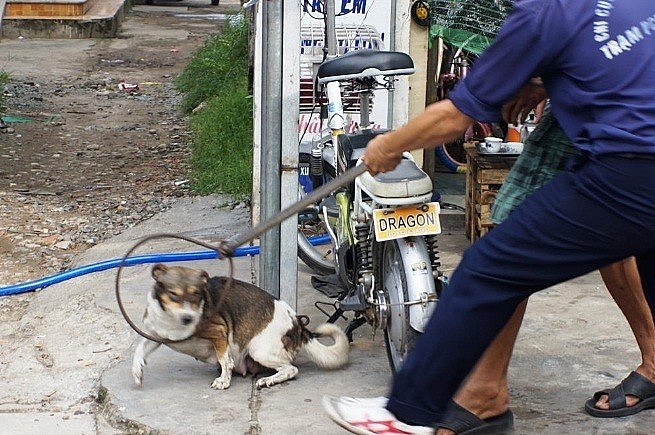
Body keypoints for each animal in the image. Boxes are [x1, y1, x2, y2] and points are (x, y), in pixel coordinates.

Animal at [130, 264, 352, 390]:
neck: (172, 322)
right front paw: (137, 371)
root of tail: (297, 323)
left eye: (196, 294)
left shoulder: (219, 333)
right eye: (173, 294)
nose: (188, 318)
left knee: (291, 369)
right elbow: (139, 350)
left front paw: (223, 381)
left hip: (259, 350)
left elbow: (225, 361)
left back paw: (269, 380)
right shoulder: (155, 334)